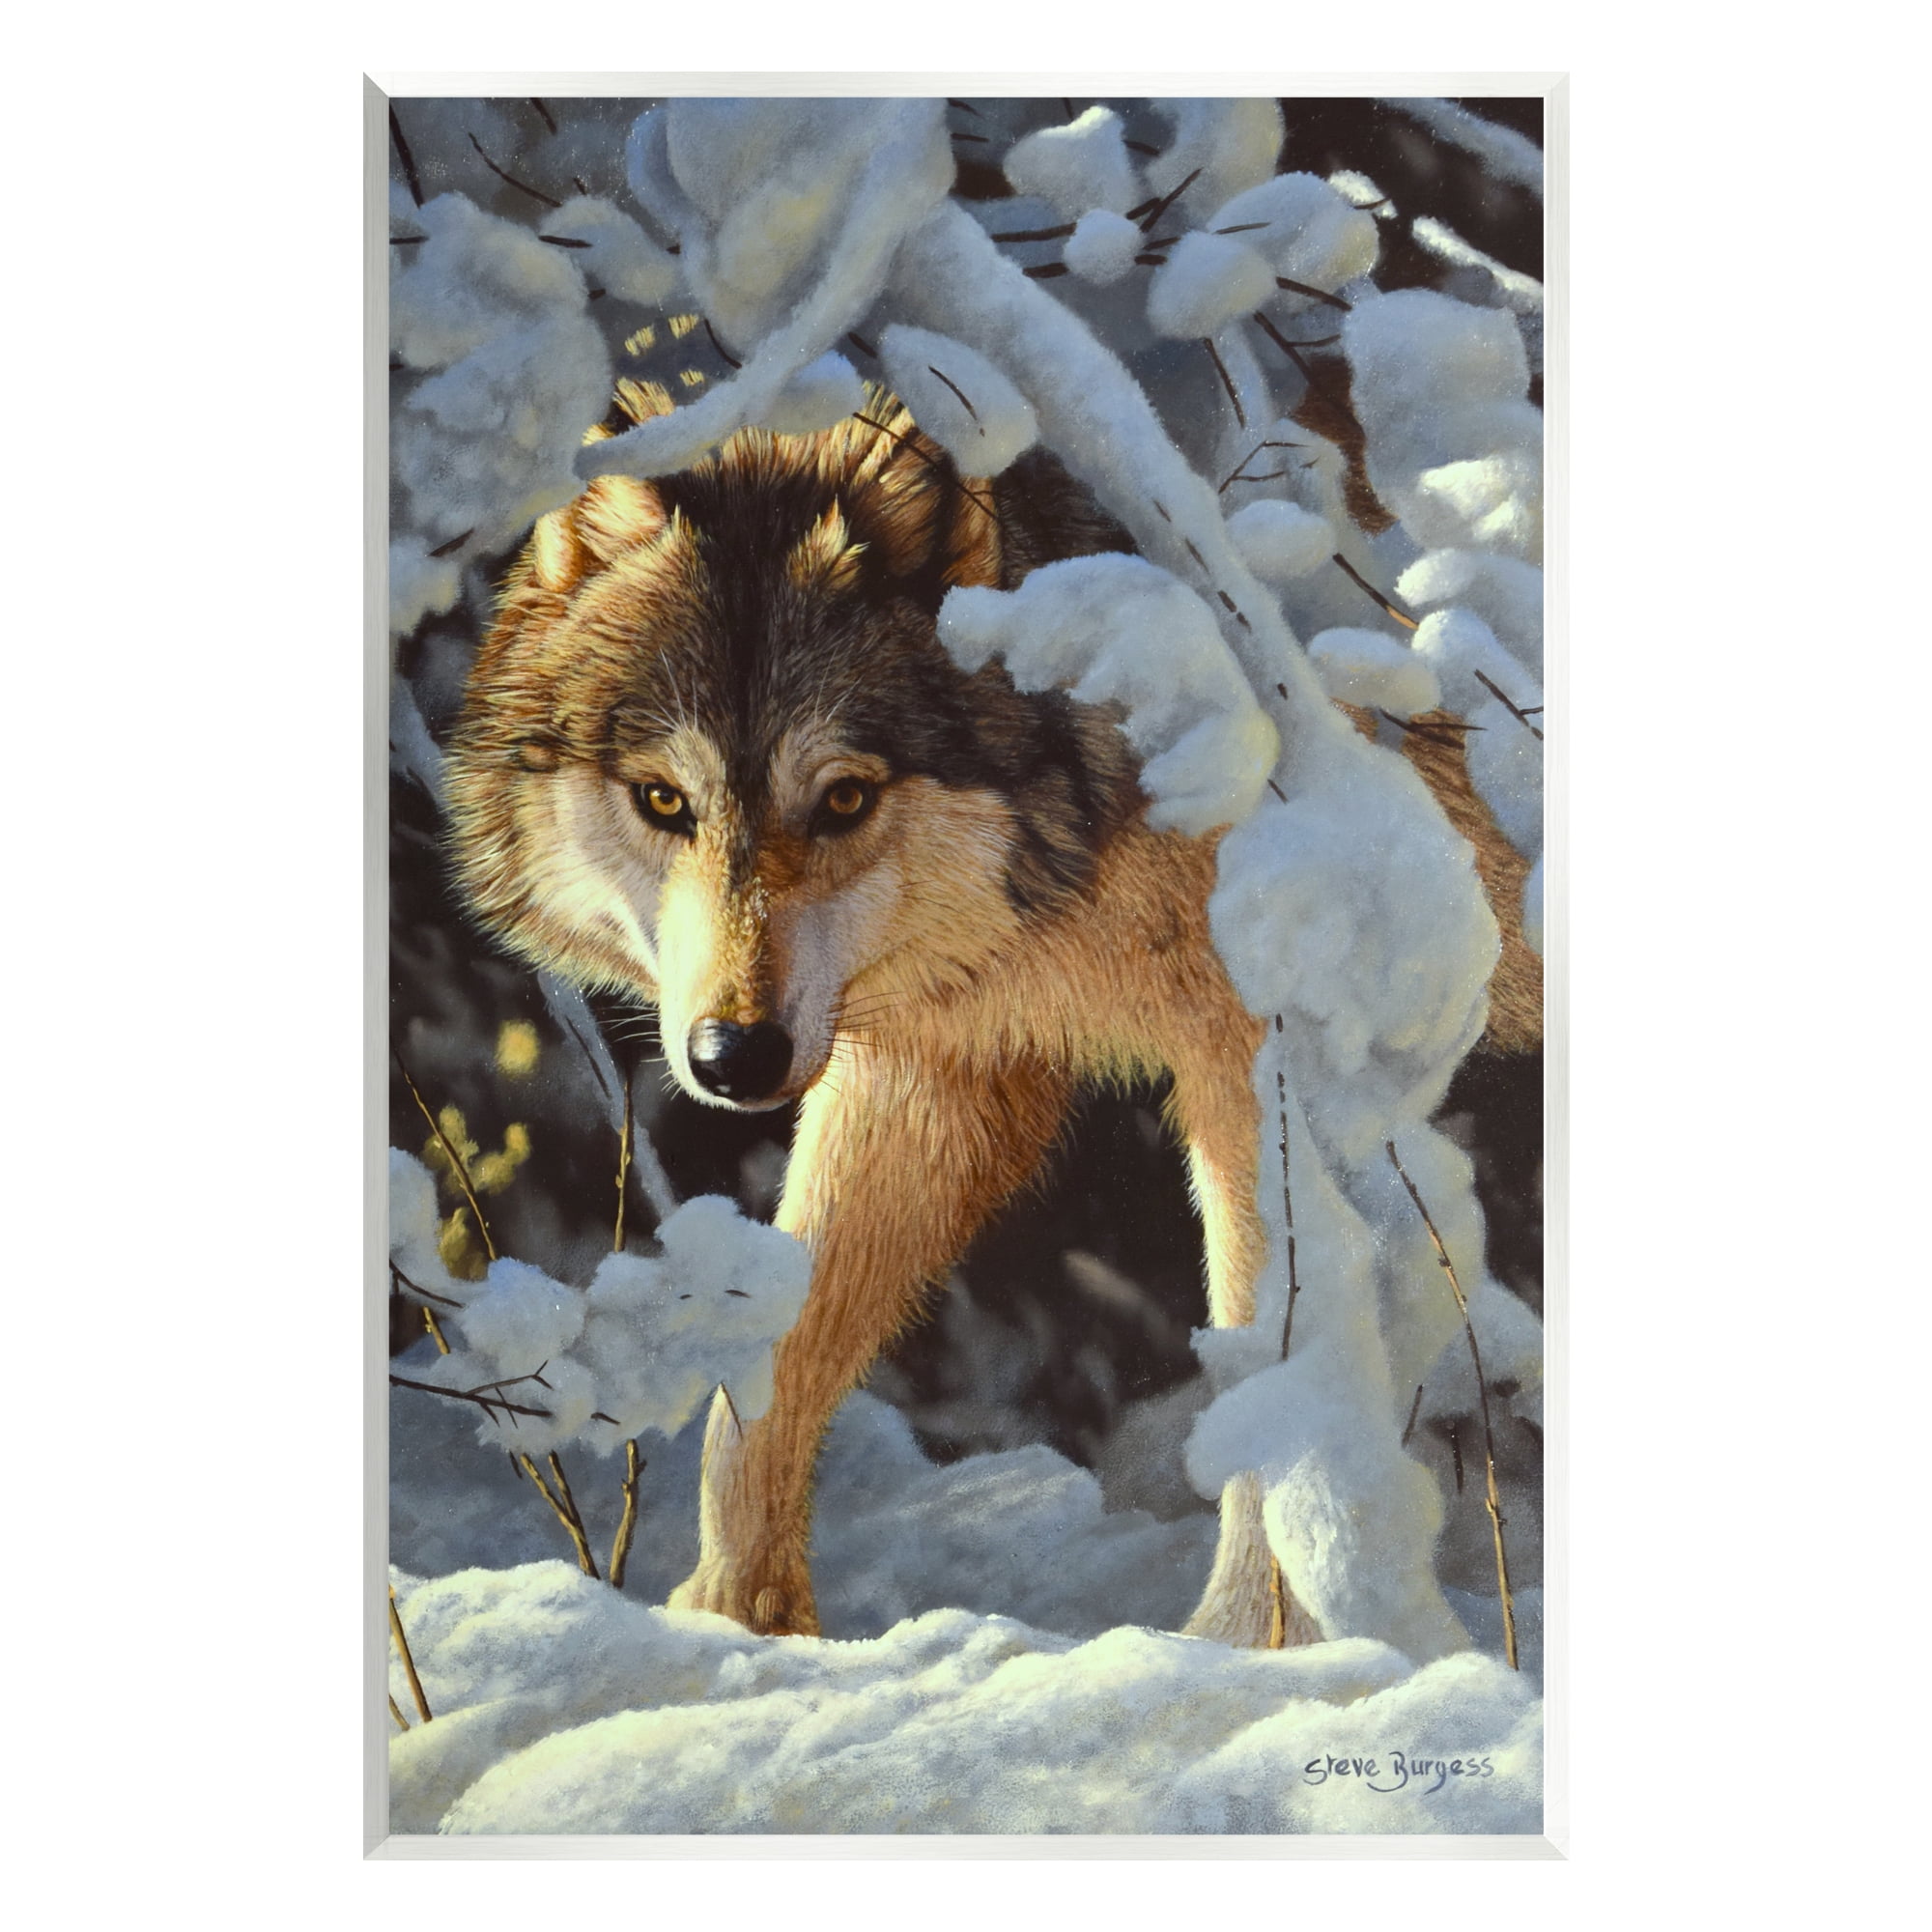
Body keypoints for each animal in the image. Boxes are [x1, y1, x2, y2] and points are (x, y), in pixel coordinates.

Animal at [446, 385, 1533, 1644]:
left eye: (843, 796)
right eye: (664, 799)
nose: (734, 1056)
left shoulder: (1257, 1067)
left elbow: (1278, 1366)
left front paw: (1238, 1650)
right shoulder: (931, 1071)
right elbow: (768, 1367)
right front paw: (737, 1622)